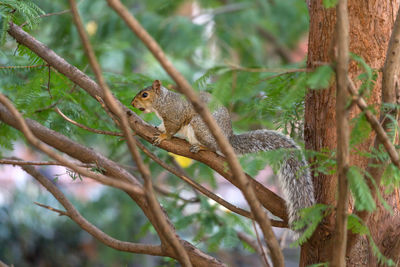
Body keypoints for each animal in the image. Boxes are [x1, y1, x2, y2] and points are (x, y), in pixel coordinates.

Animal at [132, 79, 316, 230]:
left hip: (200, 126)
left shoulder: (174, 115)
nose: (132, 103)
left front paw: (163, 137)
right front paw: (157, 128)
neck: (163, 101)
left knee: (213, 147)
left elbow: (171, 129)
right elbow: (163, 126)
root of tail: (227, 138)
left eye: (145, 94)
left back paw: (201, 148)